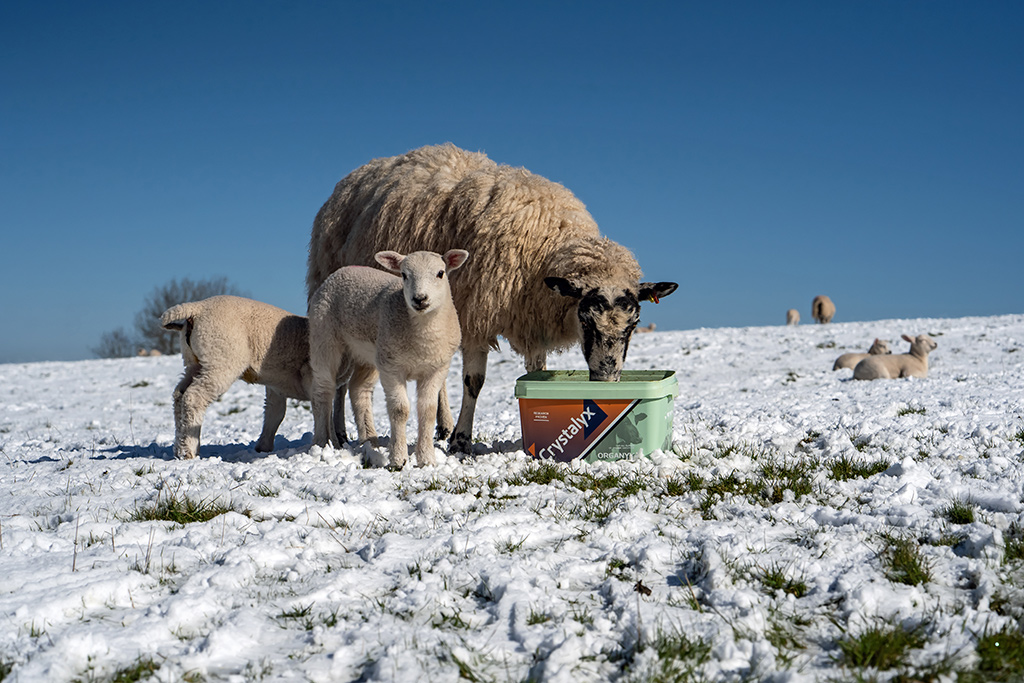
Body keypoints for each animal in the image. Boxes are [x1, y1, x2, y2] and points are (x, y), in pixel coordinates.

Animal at [160, 295, 312, 460]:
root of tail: (197, 307)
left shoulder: (277, 386)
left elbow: (275, 412)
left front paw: (263, 447)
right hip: (221, 359)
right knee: (193, 397)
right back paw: (189, 450)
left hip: (195, 363)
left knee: (179, 395)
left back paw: (179, 448)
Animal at [308, 249, 469, 468]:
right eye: (404, 275)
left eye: (440, 273)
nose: (419, 298)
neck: (423, 339)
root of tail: (339, 272)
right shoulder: (392, 367)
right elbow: (400, 410)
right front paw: (398, 459)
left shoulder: (436, 369)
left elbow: (427, 411)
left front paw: (426, 459)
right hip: (324, 337)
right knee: (322, 390)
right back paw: (321, 443)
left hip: (368, 354)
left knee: (359, 390)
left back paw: (370, 441)